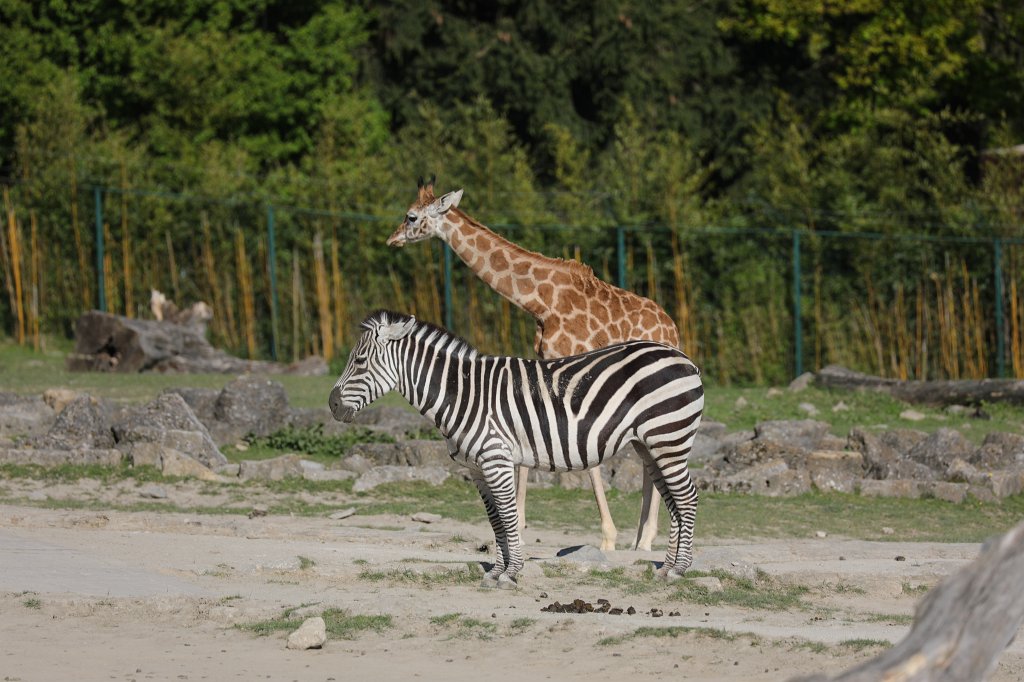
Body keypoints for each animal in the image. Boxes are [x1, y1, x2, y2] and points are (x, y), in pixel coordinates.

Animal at [329, 310, 704, 589]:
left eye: (359, 361)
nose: (332, 405)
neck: (462, 394)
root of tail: (685, 359)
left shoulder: (496, 458)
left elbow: (509, 516)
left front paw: (511, 573)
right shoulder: (477, 468)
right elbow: (496, 520)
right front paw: (496, 572)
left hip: (668, 438)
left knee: (687, 498)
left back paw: (679, 570)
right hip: (649, 446)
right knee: (674, 502)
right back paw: (666, 568)